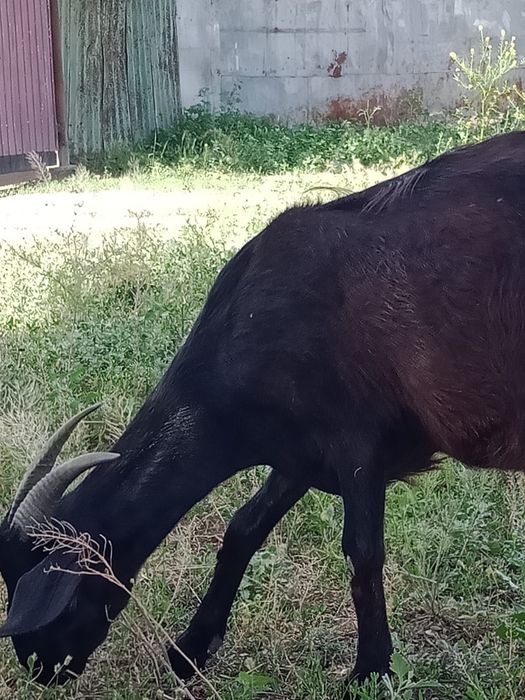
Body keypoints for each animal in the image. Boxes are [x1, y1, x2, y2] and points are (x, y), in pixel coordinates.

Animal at [1, 131, 525, 689]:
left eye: (53, 594)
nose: (41, 670)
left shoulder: (357, 444)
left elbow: (362, 552)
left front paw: (371, 668)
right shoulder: (299, 453)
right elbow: (242, 530)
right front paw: (190, 649)